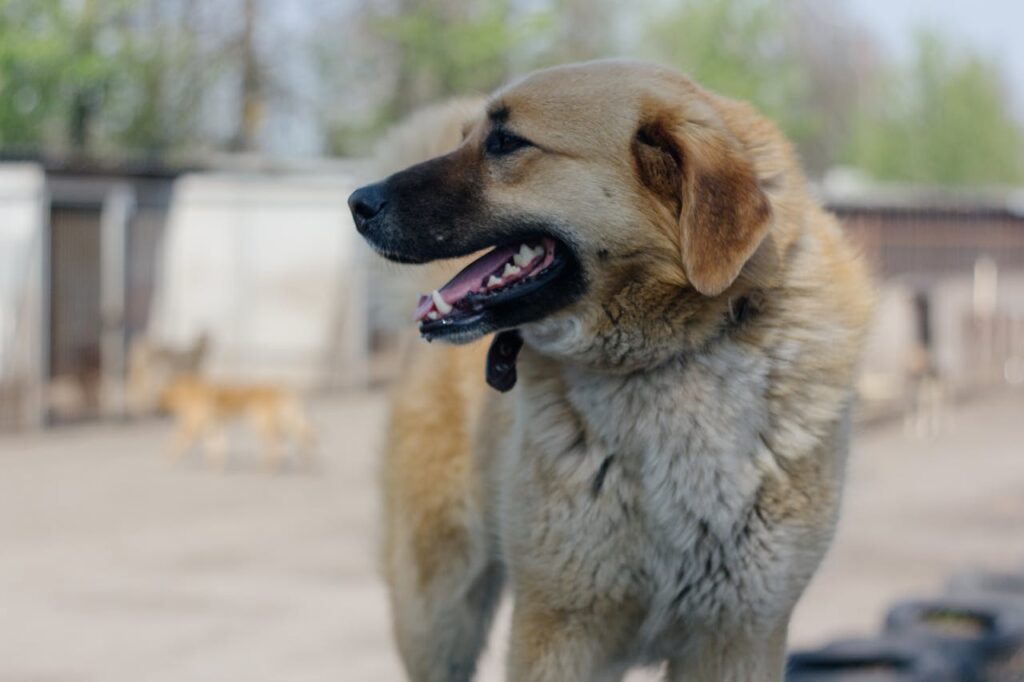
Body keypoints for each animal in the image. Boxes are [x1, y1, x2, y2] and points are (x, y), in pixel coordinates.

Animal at [350, 59, 872, 679]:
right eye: (467, 138)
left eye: (506, 142)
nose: (358, 202)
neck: (667, 361)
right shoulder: (560, 629)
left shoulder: (740, 634)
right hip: (438, 615)